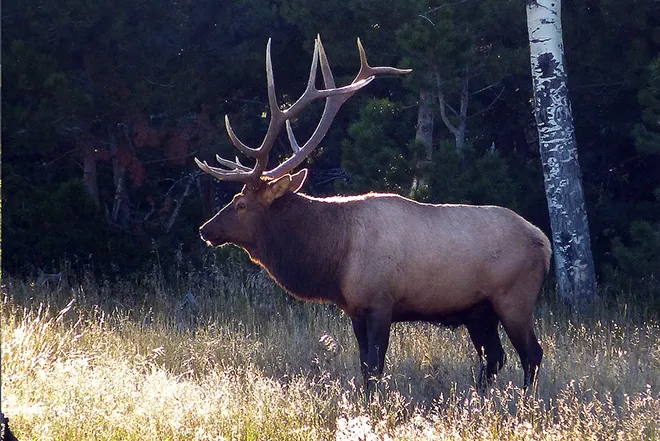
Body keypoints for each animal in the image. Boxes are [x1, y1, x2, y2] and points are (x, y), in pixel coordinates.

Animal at [196, 37, 552, 396]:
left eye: (241, 203)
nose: (205, 229)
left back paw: (526, 403)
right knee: (494, 357)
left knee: (531, 354)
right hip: (479, 312)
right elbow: (365, 367)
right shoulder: (355, 309)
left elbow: (375, 367)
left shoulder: (381, 302)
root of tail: (544, 241)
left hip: (514, 298)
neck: (335, 258)